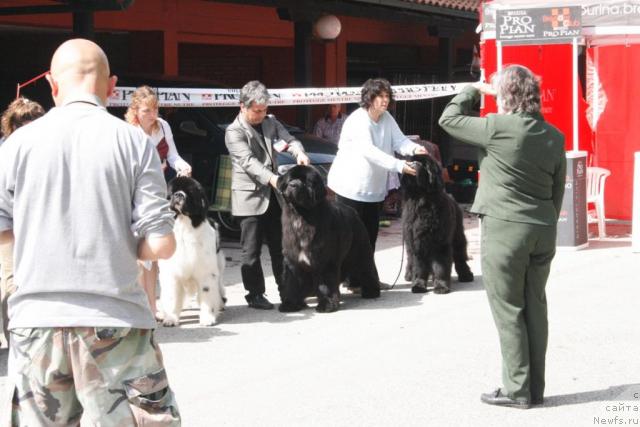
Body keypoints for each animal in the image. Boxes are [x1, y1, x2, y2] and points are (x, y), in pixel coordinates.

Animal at [157, 176, 225, 326]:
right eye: (172, 191)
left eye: (190, 193)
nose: (179, 195)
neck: (184, 226)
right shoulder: (171, 272)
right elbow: (172, 296)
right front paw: (170, 319)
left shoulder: (207, 272)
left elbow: (207, 293)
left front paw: (207, 318)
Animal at [276, 166, 378, 312]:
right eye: (291, 179)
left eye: (306, 182)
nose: (293, 185)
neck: (301, 216)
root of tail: (353, 211)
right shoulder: (292, 261)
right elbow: (291, 282)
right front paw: (290, 304)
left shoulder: (325, 260)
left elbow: (325, 284)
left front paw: (326, 305)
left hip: (360, 250)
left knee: (366, 267)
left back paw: (371, 291)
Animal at [400, 155, 476, 296]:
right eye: (410, 161)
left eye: (422, 163)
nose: (412, 164)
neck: (422, 199)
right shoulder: (417, 243)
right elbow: (419, 267)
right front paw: (418, 285)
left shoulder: (440, 243)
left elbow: (440, 266)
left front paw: (441, 286)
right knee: (410, 259)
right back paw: (409, 275)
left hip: (458, 237)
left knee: (460, 257)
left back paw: (466, 275)